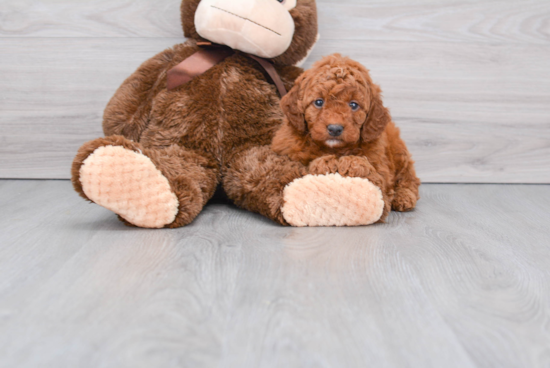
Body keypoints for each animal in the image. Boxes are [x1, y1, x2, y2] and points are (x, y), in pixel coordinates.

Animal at [272, 53, 422, 221]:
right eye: (319, 102)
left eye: (354, 105)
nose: (335, 128)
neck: (335, 149)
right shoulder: (287, 154)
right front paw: (325, 163)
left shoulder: (382, 169)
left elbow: (375, 175)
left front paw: (351, 162)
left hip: (398, 150)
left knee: (409, 177)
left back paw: (404, 197)